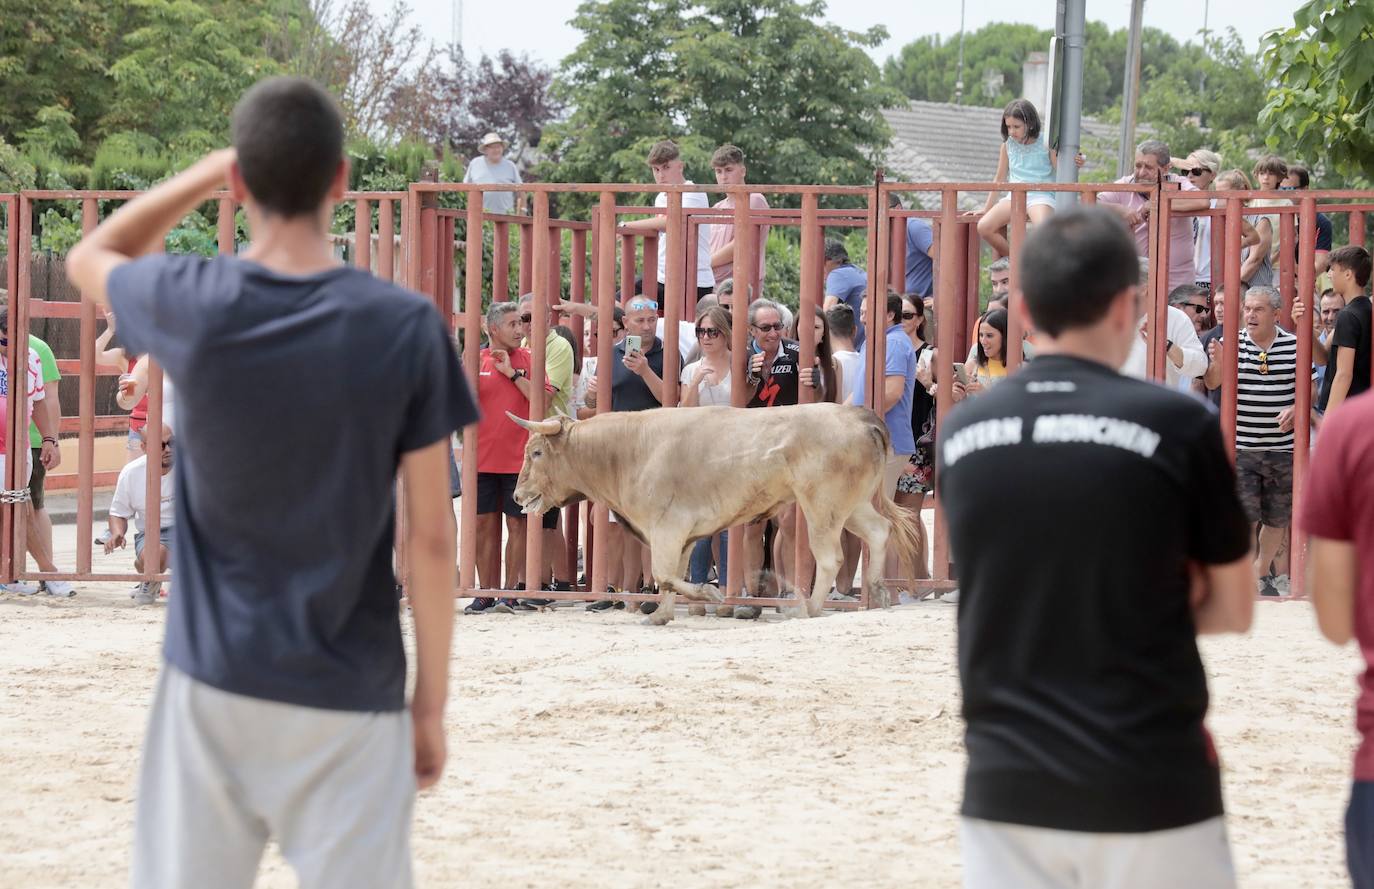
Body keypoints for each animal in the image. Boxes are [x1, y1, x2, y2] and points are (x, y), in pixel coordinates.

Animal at [508, 403, 923, 626]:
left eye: (536, 453)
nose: (518, 495)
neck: (632, 449)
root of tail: (860, 417)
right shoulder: (683, 535)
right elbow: (671, 575)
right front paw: (661, 615)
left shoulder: (667, 528)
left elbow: (664, 573)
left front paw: (710, 592)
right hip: (852, 504)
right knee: (879, 531)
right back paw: (877, 590)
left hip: (822, 506)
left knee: (830, 557)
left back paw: (810, 608)